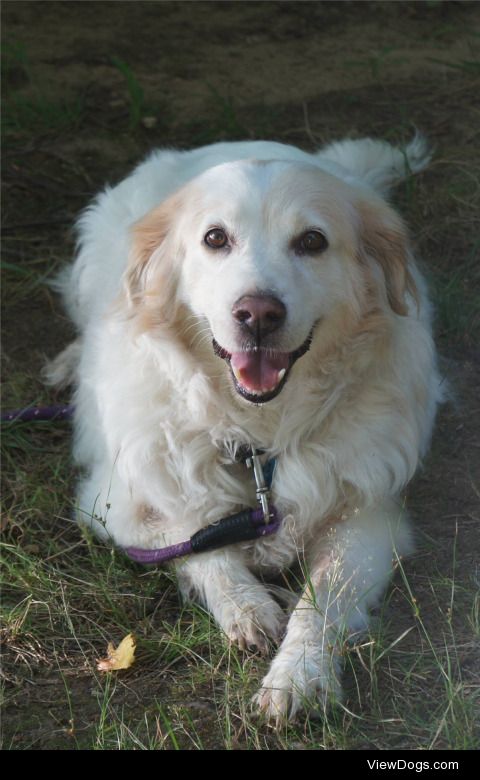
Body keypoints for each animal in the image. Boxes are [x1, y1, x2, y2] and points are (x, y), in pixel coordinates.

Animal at [49, 136, 442, 724]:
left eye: (312, 241)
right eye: (215, 238)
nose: (257, 313)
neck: (259, 439)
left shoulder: (370, 519)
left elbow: (322, 599)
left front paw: (298, 676)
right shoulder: (115, 505)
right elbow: (196, 540)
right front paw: (248, 607)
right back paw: (69, 366)